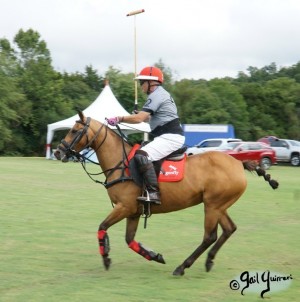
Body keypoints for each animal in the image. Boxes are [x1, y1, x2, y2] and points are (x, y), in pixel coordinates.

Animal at [54, 111, 278, 276]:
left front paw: (106, 258)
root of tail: (238, 163)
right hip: (218, 205)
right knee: (229, 229)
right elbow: (129, 240)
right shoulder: (133, 211)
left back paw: (182, 267)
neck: (120, 162)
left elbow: (102, 226)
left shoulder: (124, 206)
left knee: (209, 236)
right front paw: (155, 256)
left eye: (74, 130)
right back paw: (208, 261)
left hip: (213, 205)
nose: (57, 152)